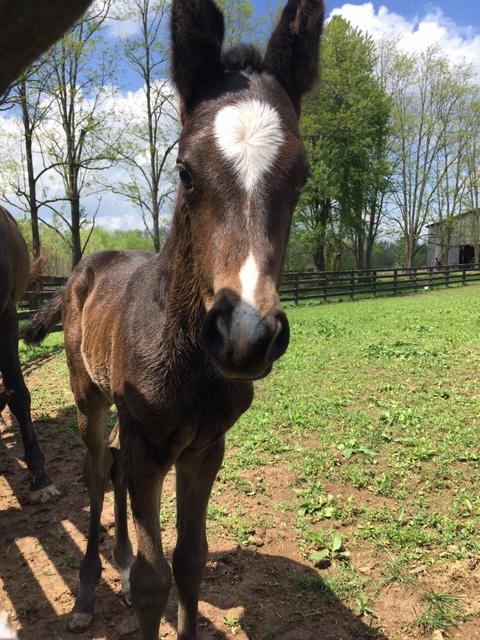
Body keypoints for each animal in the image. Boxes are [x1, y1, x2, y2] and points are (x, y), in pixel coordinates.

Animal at [24, 1, 324, 636]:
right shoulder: (149, 445)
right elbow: (151, 580)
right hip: (89, 397)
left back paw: (116, 557)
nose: (245, 336)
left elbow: (190, 560)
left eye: (302, 176)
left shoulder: (204, 448)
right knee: (96, 470)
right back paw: (86, 595)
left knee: (112, 469)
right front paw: (126, 578)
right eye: (185, 170)